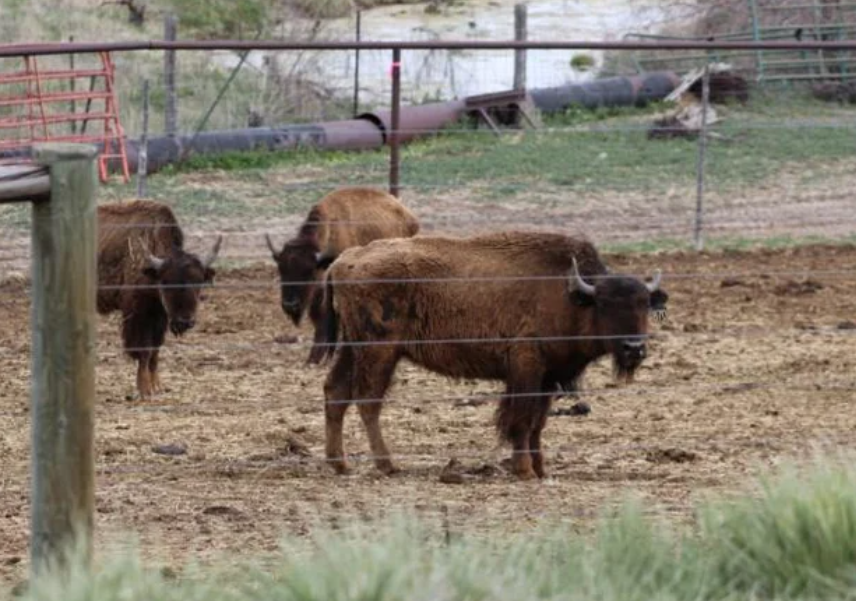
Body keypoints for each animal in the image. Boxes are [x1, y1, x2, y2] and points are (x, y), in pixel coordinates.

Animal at [97, 200, 222, 399]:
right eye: (166, 282)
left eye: (198, 281)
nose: (185, 322)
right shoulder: (138, 315)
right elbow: (145, 351)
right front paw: (144, 390)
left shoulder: (159, 317)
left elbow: (155, 350)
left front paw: (157, 387)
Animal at [265, 186, 419, 364]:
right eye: (281, 269)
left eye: (309, 272)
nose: (290, 305)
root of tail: (408, 214)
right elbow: (320, 317)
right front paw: (315, 358)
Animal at [320, 231, 668, 480]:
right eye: (606, 304)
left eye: (644, 304)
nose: (634, 348)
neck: (570, 295)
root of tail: (345, 261)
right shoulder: (526, 369)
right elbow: (522, 419)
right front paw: (524, 471)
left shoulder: (547, 377)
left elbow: (538, 423)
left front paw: (541, 469)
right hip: (379, 352)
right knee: (367, 401)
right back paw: (387, 465)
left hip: (352, 349)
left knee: (335, 392)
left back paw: (340, 464)